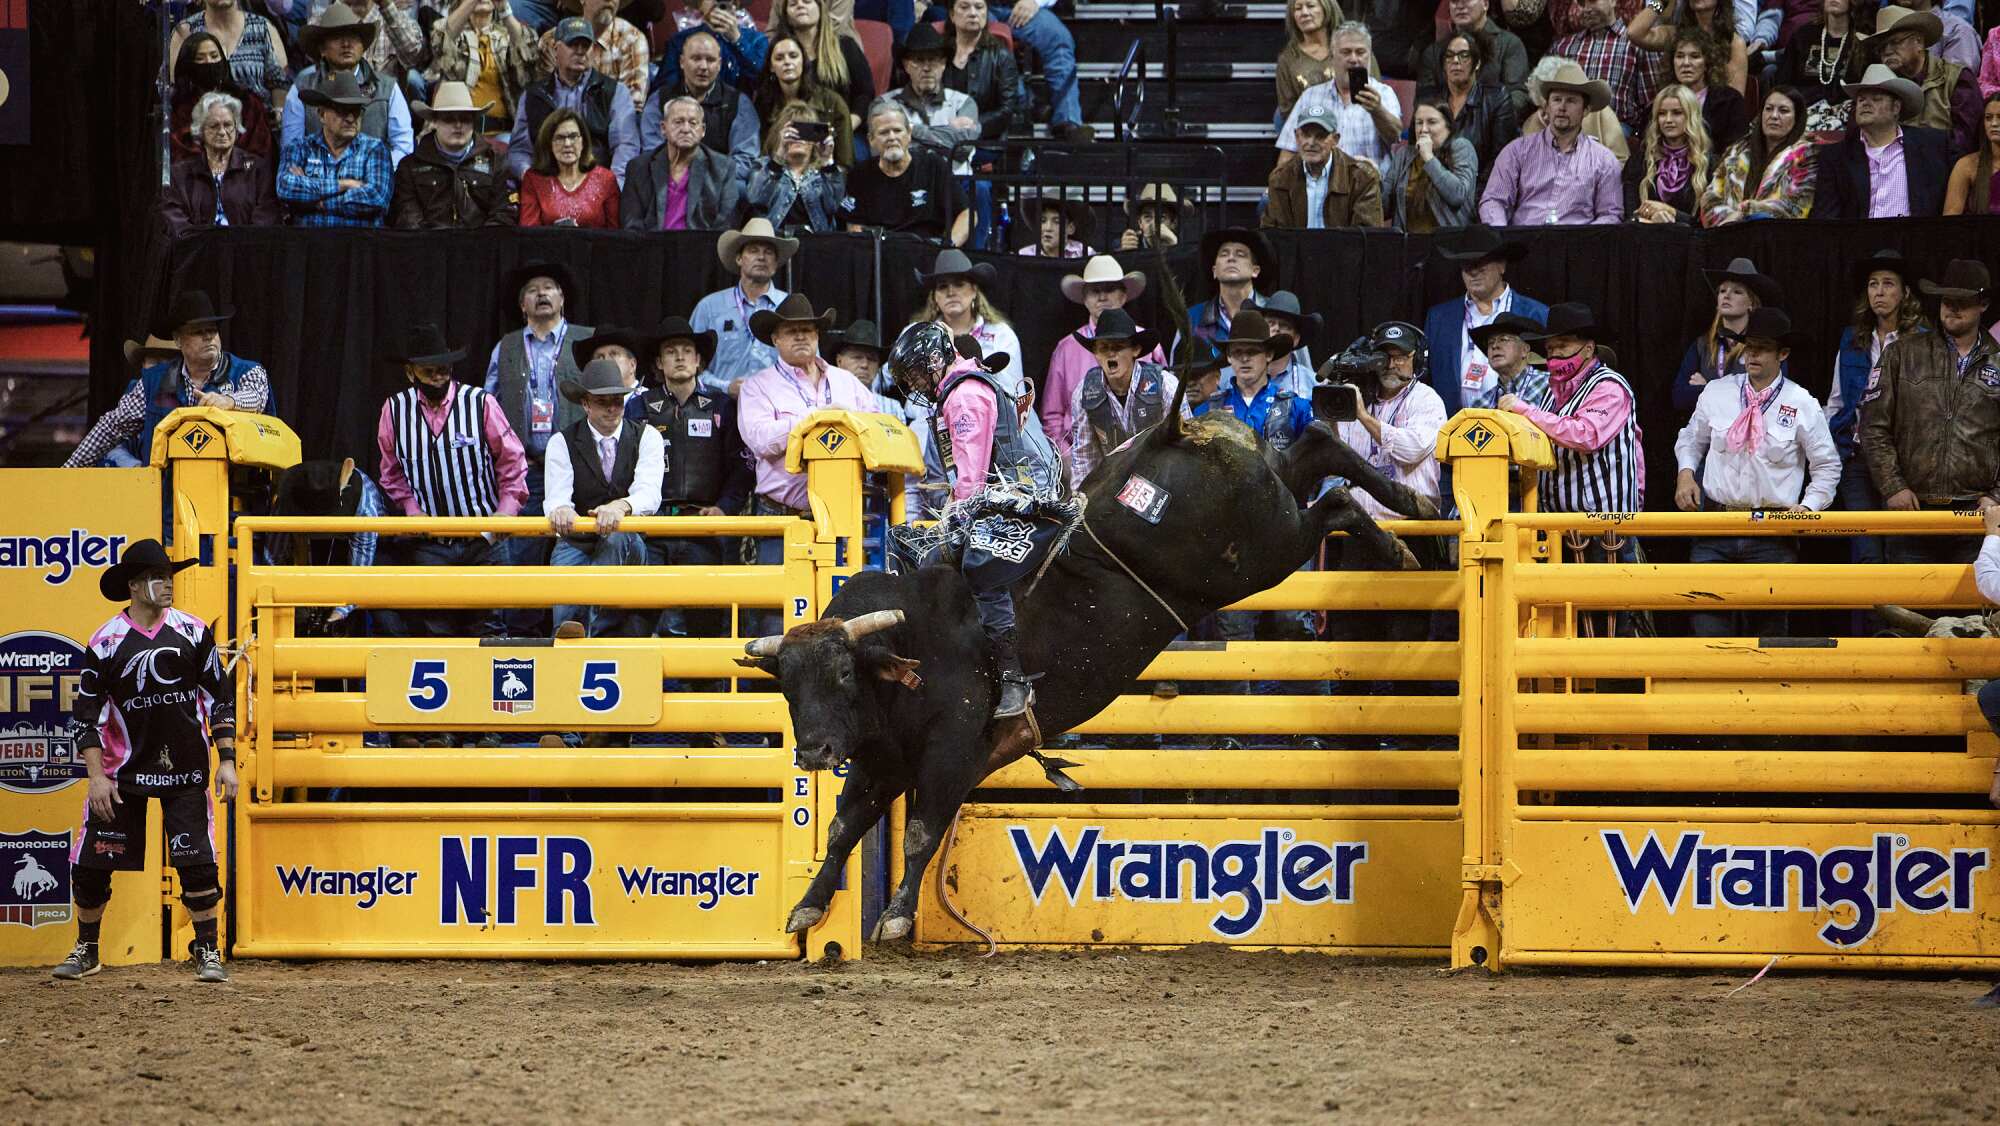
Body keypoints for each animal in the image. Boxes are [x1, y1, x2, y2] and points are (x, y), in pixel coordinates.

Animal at [739, 388, 1433, 946]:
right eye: (789, 690)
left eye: (844, 675)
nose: (815, 751)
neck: (911, 645)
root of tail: (1170, 429)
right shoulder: (883, 758)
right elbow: (842, 828)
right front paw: (808, 909)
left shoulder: (947, 754)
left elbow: (918, 833)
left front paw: (898, 917)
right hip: (1269, 507)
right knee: (1316, 447)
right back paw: (1404, 506)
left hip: (1263, 554)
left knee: (1334, 501)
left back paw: (1400, 539)